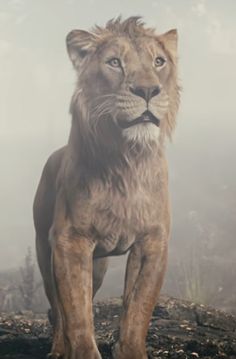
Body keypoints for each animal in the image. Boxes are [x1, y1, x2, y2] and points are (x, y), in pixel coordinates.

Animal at [33, 16, 180, 359]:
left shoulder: (152, 242)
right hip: (45, 249)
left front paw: (130, 351)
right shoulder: (70, 242)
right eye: (114, 63)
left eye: (159, 61)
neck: (127, 160)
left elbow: (138, 308)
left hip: (98, 265)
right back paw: (58, 348)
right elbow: (76, 314)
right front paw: (81, 350)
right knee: (57, 308)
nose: (147, 89)